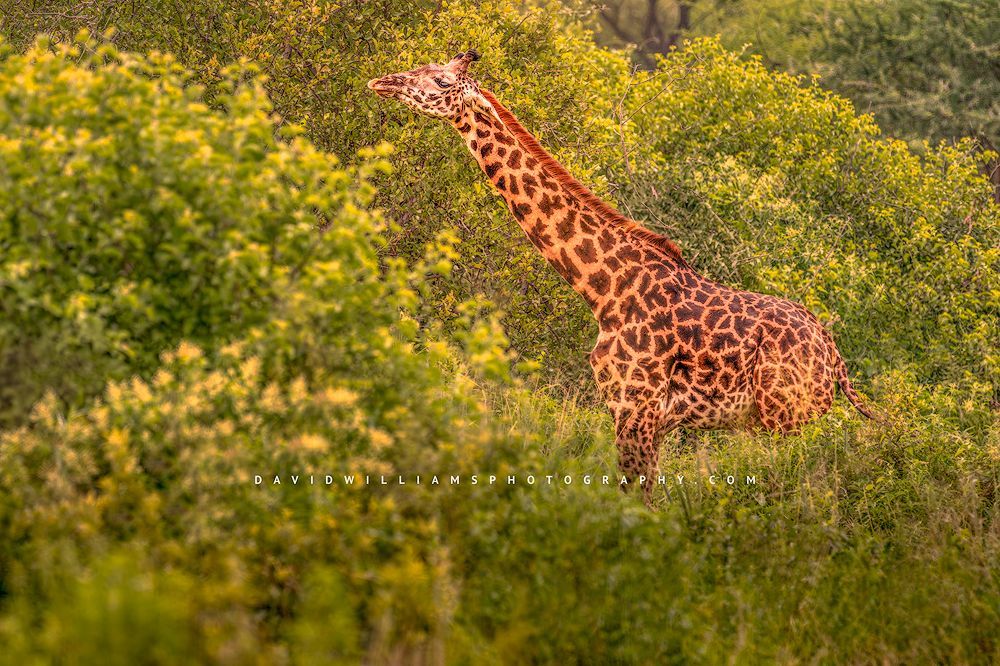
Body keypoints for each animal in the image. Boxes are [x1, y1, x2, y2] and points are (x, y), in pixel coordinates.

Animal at [368, 50, 873, 503]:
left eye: (440, 81)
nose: (382, 81)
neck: (603, 290)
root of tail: (835, 359)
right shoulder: (649, 418)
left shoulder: (635, 407)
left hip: (783, 416)